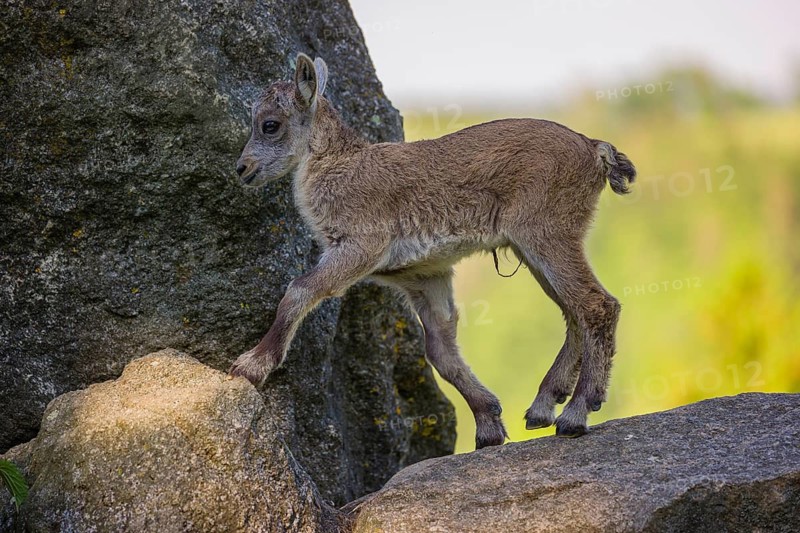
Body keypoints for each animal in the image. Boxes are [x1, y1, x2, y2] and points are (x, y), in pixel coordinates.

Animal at [230, 54, 636, 448]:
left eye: (269, 124)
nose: (242, 168)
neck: (341, 166)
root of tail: (594, 148)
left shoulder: (360, 247)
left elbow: (299, 290)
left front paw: (249, 366)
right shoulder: (425, 276)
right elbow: (441, 352)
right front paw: (488, 425)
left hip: (547, 235)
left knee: (597, 305)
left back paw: (575, 414)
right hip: (534, 249)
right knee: (573, 312)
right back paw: (541, 409)